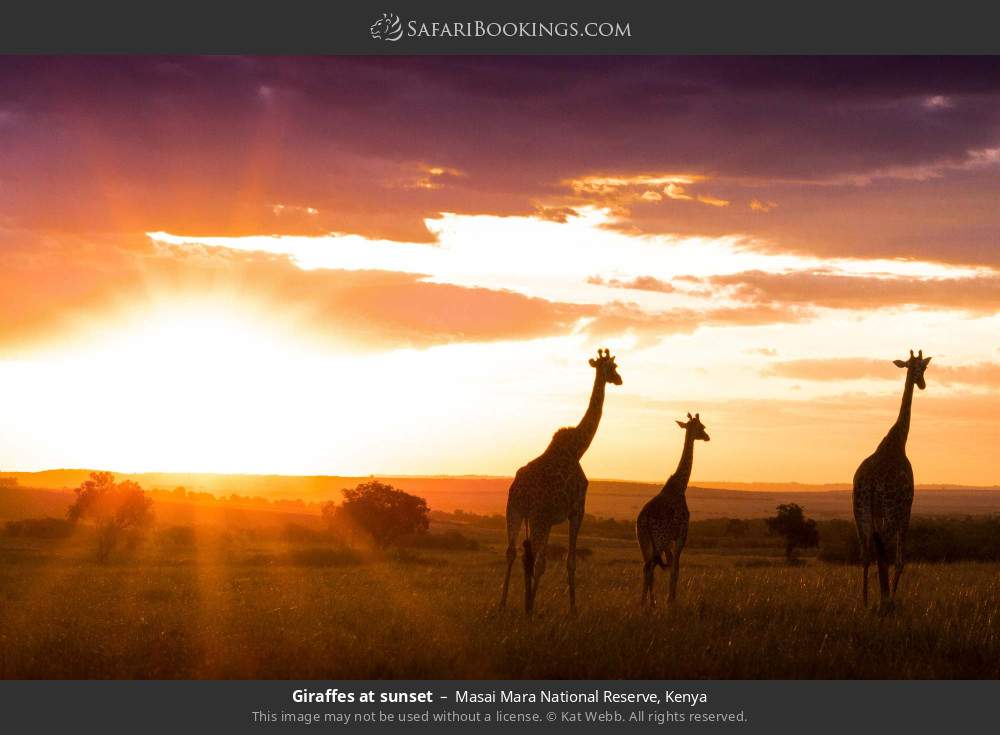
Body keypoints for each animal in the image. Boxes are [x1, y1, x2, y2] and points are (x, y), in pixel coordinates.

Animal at [504, 350, 620, 616]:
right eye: (613, 367)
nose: (619, 380)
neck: (578, 448)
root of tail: (519, 489)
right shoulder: (577, 510)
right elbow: (570, 561)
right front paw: (574, 608)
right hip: (540, 518)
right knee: (535, 559)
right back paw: (528, 607)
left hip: (515, 510)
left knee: (513, 552)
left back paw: (505, 602)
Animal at [636, 412, 708, 608]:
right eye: (702, 427)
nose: (707, 437)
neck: (680, 486)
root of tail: (644, 519)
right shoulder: (680, 535)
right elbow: (675, 568)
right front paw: (671, 600)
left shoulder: (669, 540)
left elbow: (669, 567)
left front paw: (667, 600)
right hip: (658, 540)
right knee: (650, 566)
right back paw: (648, 603)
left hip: (643, 540)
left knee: (646, 566)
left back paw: (646, 603)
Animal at [852, 348, 928, 612]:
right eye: (917, 368)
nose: (922, 383)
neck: (898, 441)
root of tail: (872, 481)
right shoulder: (907, 508)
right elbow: (900, 560)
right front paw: (892, 598)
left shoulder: (876, 512)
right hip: (892, 510)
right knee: (881, 546)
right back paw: (884, 600)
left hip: (860, 509)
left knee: (866, 551)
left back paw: (865, 601)